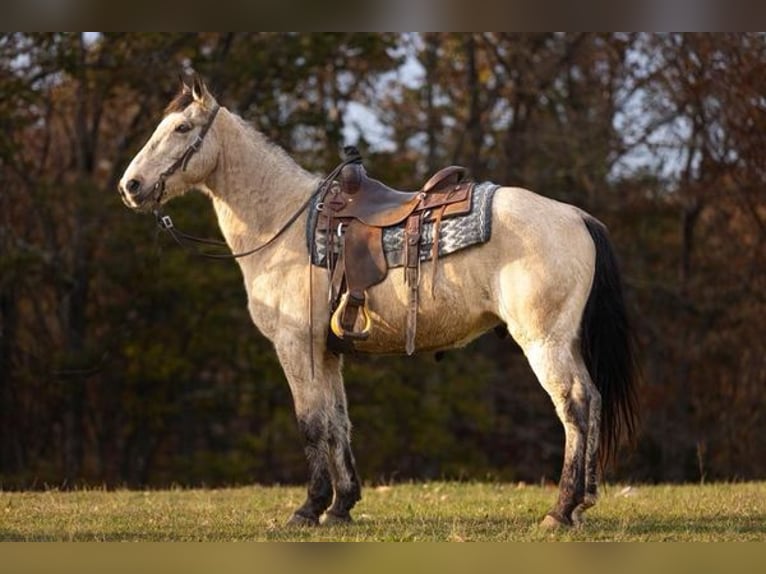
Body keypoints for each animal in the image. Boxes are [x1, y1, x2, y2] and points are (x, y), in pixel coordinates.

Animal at [117, 76, 640, 532]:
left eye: (182, 128)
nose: (131, 186)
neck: (285, 224)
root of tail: (576, 216)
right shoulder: (327, 353)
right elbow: (337, 423)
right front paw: (340, 506)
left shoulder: (295, 346)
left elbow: (311, 424)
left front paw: (309, 508)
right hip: (565, 341)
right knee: (592, 400)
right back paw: (582, 503)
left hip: (543, 341)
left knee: (573, 406)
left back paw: (560, 510)